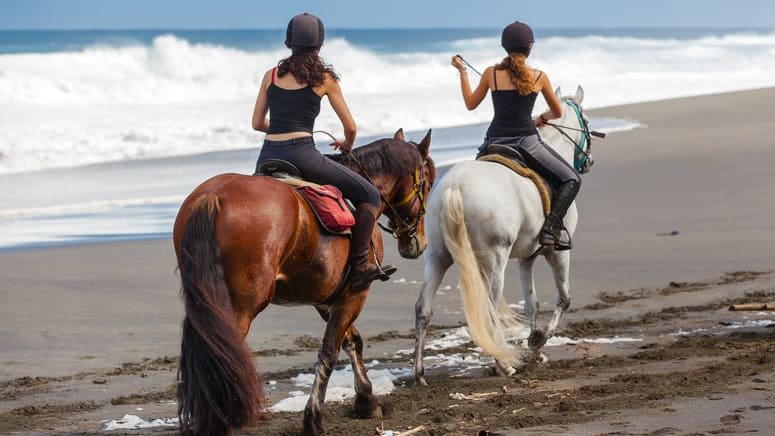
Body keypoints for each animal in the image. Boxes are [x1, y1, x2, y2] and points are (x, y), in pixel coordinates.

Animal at [173, 128, 435, 435]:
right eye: (428, 184)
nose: (417, 242)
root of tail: (213, 196)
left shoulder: (326, 299)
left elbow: (351, 341)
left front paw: (366, 399)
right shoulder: (354, 294)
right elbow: (329, 352)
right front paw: (314, 417)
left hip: (207, 302)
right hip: (241, 307)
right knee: (225, 354)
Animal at [413, 87, 594, 384]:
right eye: (587, 121)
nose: (588, 162)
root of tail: (454, 186)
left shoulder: (526, 258)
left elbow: (532, 304)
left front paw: (535, 349)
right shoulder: (557, 252)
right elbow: (564, 298)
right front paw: (540, 340)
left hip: (437, 257)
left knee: (423, 309)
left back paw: (419, 374)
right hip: (493, 261)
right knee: (488, 308)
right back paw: (503, 365)